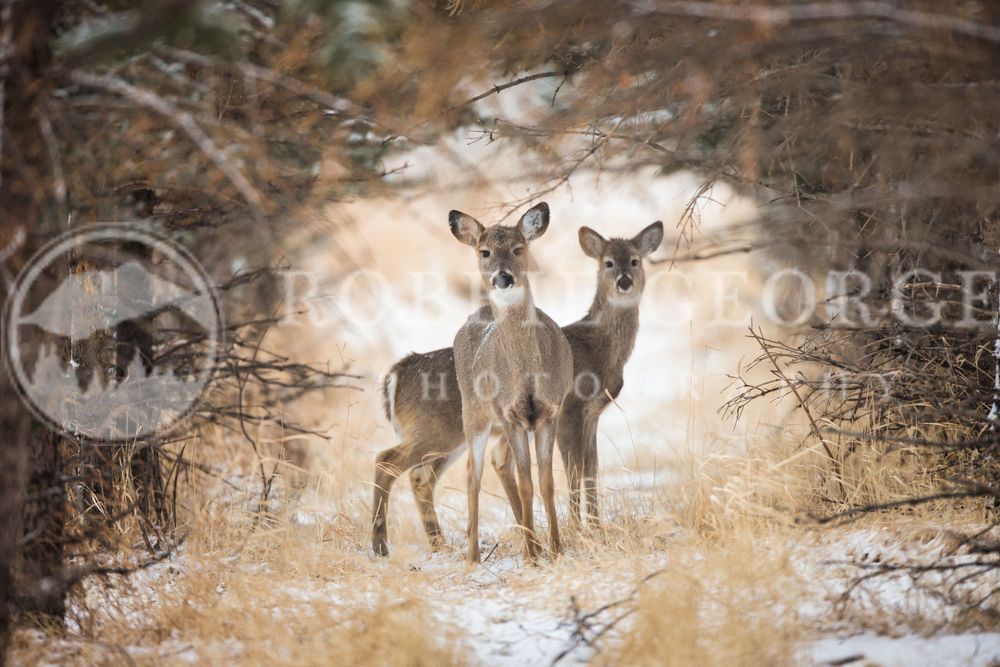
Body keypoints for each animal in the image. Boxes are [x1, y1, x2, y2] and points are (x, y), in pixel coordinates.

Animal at [371, 219, 663, 557]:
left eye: (635, 261)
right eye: (609, 263)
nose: (624, 281)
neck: (600, 350)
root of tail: (396, 374)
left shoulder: (591, 415)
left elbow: (591, 469)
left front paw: (596, 528)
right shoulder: (570, 410)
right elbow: (574, 470)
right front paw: (578, 530)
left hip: (446, 437)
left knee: (421, 476)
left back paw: (439, 543)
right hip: (435, 430)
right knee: (388, 462)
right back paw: (381, 544)